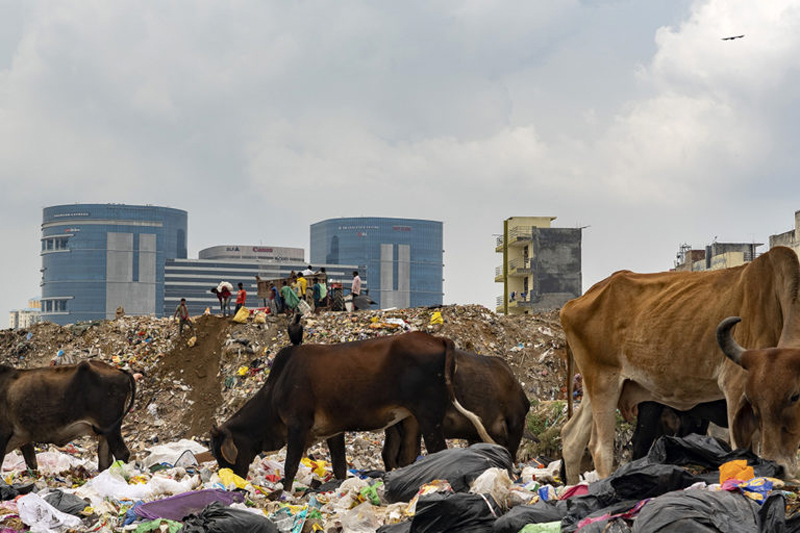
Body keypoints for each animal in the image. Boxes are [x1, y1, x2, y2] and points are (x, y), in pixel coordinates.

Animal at [0, 358, 136, 470]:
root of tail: (119, 370)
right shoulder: (23, 438)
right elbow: (32, 463)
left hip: (109, 427)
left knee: (121, 453)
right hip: (105, 432)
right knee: (105, 460)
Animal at [209, 332, 490, 490]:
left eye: (221, 454)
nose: (232, 485)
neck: (276, 386)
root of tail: (437, 339)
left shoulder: (297, 426)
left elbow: (290, 465)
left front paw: (284, 494)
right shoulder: (333, 431)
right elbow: (340, 466)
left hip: (429, 418)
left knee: (439, 451)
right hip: (411, 419)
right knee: (409, 454)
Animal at [560, 245, 800, 482]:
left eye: (795, 396)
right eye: (753, 402)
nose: (779, 466)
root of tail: (571, 304)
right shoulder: (734, 387)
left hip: (595, 388)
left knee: (572, 440)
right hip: (604, 383)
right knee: (601, 449)